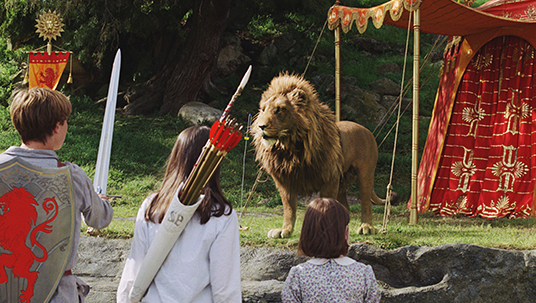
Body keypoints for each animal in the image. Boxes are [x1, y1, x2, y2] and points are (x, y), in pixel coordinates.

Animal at [251, 74, 386, 240]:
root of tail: (366, 130)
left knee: (366, 202)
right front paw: (285, 230)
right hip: (342, 180)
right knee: (346, 206)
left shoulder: (329, 178)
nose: (261, 126)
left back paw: (366, 227)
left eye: (279, 110)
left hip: (365, 173)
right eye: (263, 110)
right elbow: (289, 208)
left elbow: (325, 206)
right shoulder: (284, 179)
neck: (290, 149)